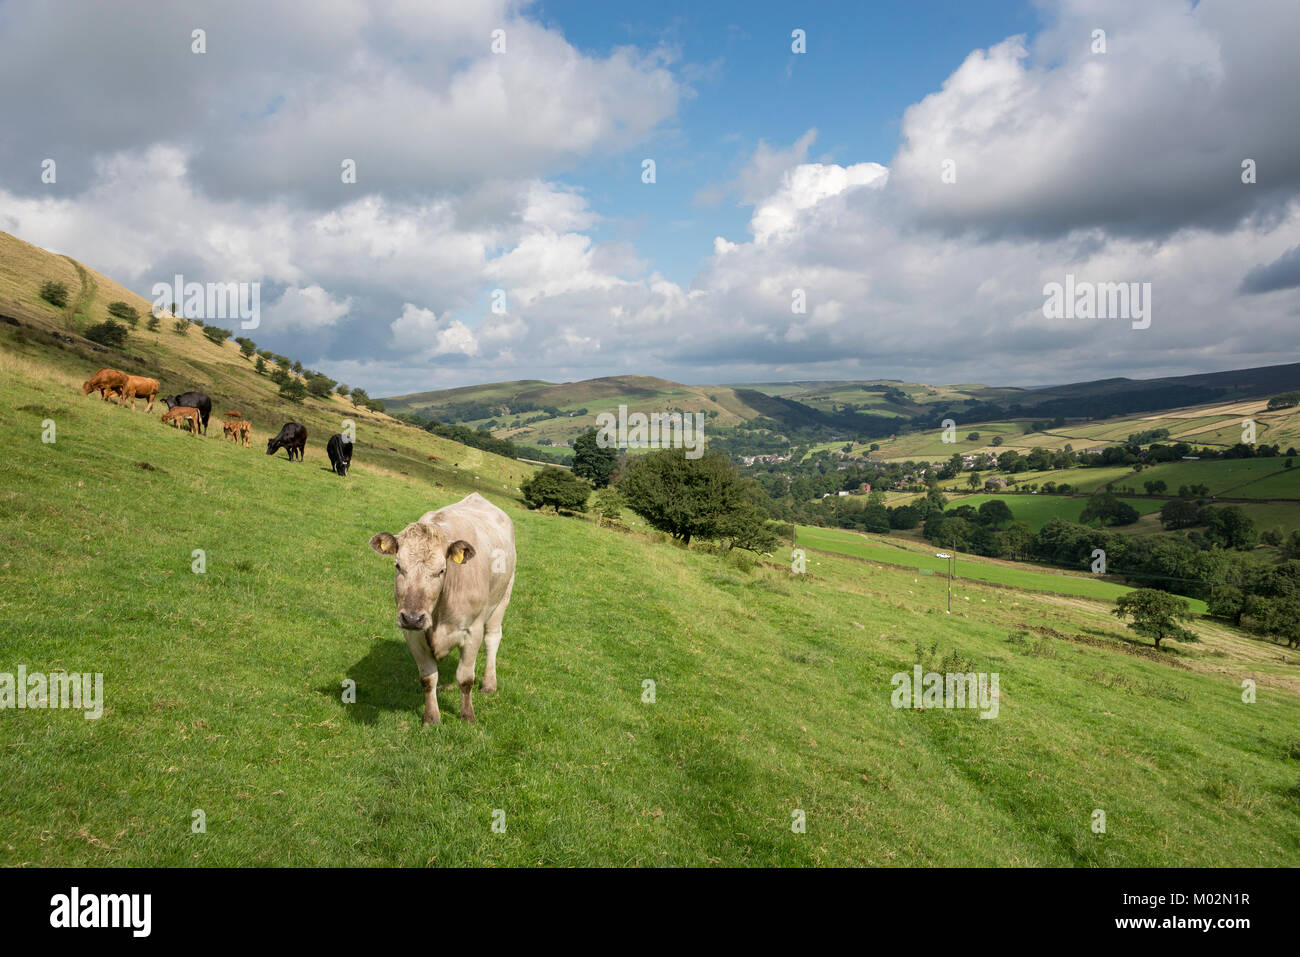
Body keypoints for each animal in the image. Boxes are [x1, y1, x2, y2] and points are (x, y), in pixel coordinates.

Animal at [369, 494, 514, 722]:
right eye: (398, 566)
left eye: (442, 570)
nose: (412, 618)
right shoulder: (413, 635)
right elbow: (428, 678)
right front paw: (432, 717)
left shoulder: (472, 631)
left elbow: (465, 678)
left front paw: (467, 715)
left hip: (503, 597)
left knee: (493, 637)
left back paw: (490, 683)